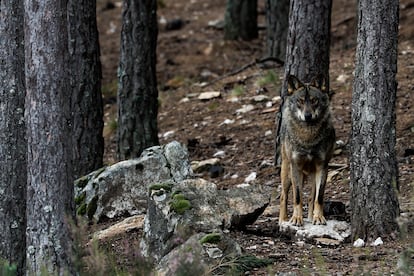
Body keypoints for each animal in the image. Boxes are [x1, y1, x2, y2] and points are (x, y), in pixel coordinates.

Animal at [276, 74, 334, 226]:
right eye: (300, 101)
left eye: (314, 100)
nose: (308, 116)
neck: (308, 137)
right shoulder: (295, 166)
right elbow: (297, 197)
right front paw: (296, 218)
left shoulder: (322, 166)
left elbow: (319, 197)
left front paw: (318, 217)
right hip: (287, 173)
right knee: (283, 196)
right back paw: (283, 220)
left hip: (312, 175)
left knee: (311, 197)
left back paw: (310, 216)